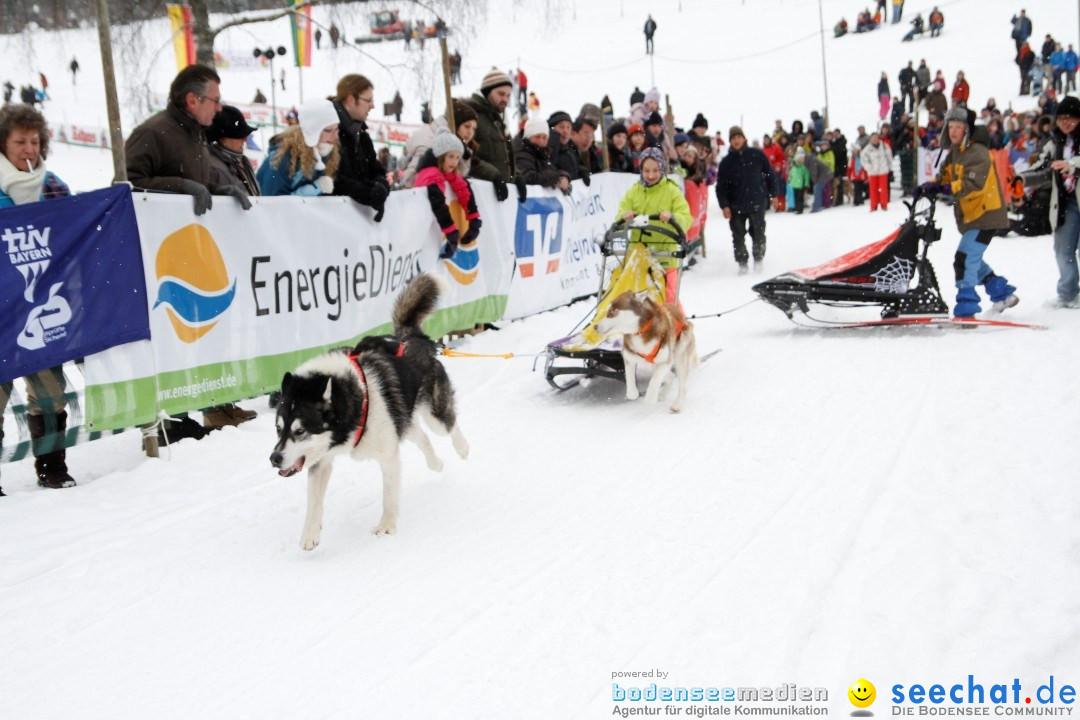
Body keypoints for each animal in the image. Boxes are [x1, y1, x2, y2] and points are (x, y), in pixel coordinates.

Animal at [270, 272, 468, 552]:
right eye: (279, 429)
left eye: (300, 430)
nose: (274, 458)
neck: (356, 395)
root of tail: (412, 338)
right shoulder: (321, 459)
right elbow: (314, 500)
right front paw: (310, 533)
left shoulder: (388, 455)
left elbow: (389, 496)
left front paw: (386, 526)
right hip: (403, 420)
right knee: (422, 438)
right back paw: (436, 463)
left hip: (433, 415)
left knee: (449, 425)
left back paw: (462, 448)